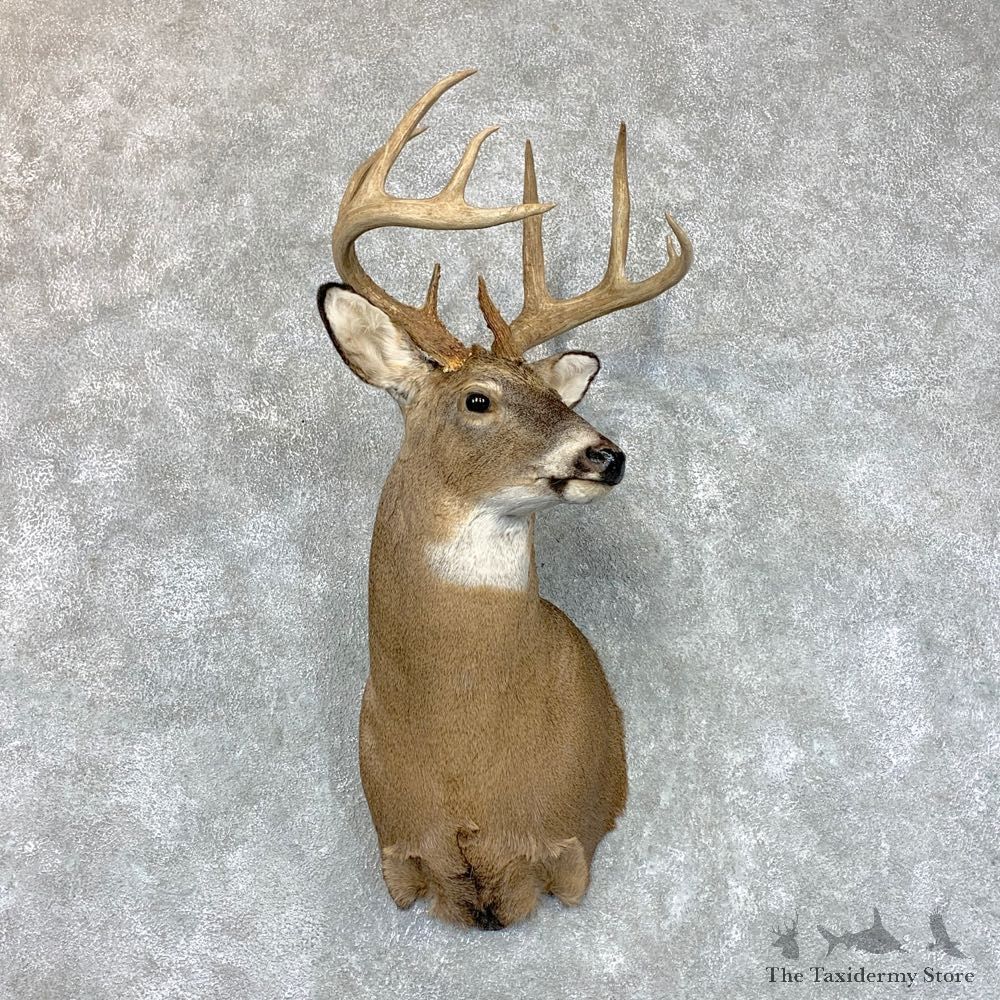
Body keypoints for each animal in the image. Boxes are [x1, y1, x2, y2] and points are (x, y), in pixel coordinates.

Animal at [317, 69, 692, 930]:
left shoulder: (570, 841)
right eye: (478, 399)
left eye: (553, 395)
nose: (604, 454)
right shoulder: (399, 851)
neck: (463, 753)